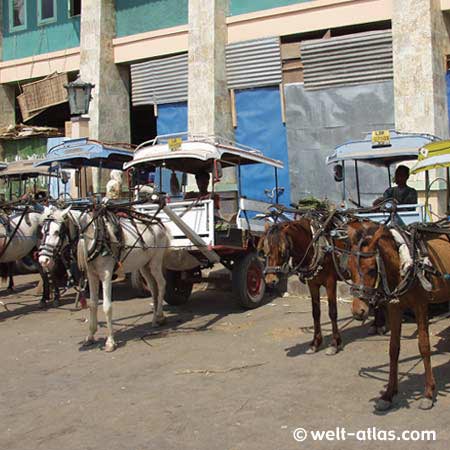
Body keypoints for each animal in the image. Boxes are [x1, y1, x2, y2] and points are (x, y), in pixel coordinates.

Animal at [39, 205, 170, 352]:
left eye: (57, 232)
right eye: (42, 232)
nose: (43, 260)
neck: (96, 237)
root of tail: (159, 224)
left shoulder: (106, 275)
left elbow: (107, 306)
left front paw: (110, 341)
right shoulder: (92, 276)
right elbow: (93, 304)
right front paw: (90, 336)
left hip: (155, 263)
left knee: (161, 284)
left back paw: (159, 316)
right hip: (144, 266)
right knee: (153, 288)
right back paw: (155, 319)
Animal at [344, 219, 450, 412]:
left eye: (372, 269)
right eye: (349, 269)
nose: (358, 311)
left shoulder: (420, 306)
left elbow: (424, 346)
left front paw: (428, 393)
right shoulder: (394, 308)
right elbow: (393, 349)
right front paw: (388, 395)